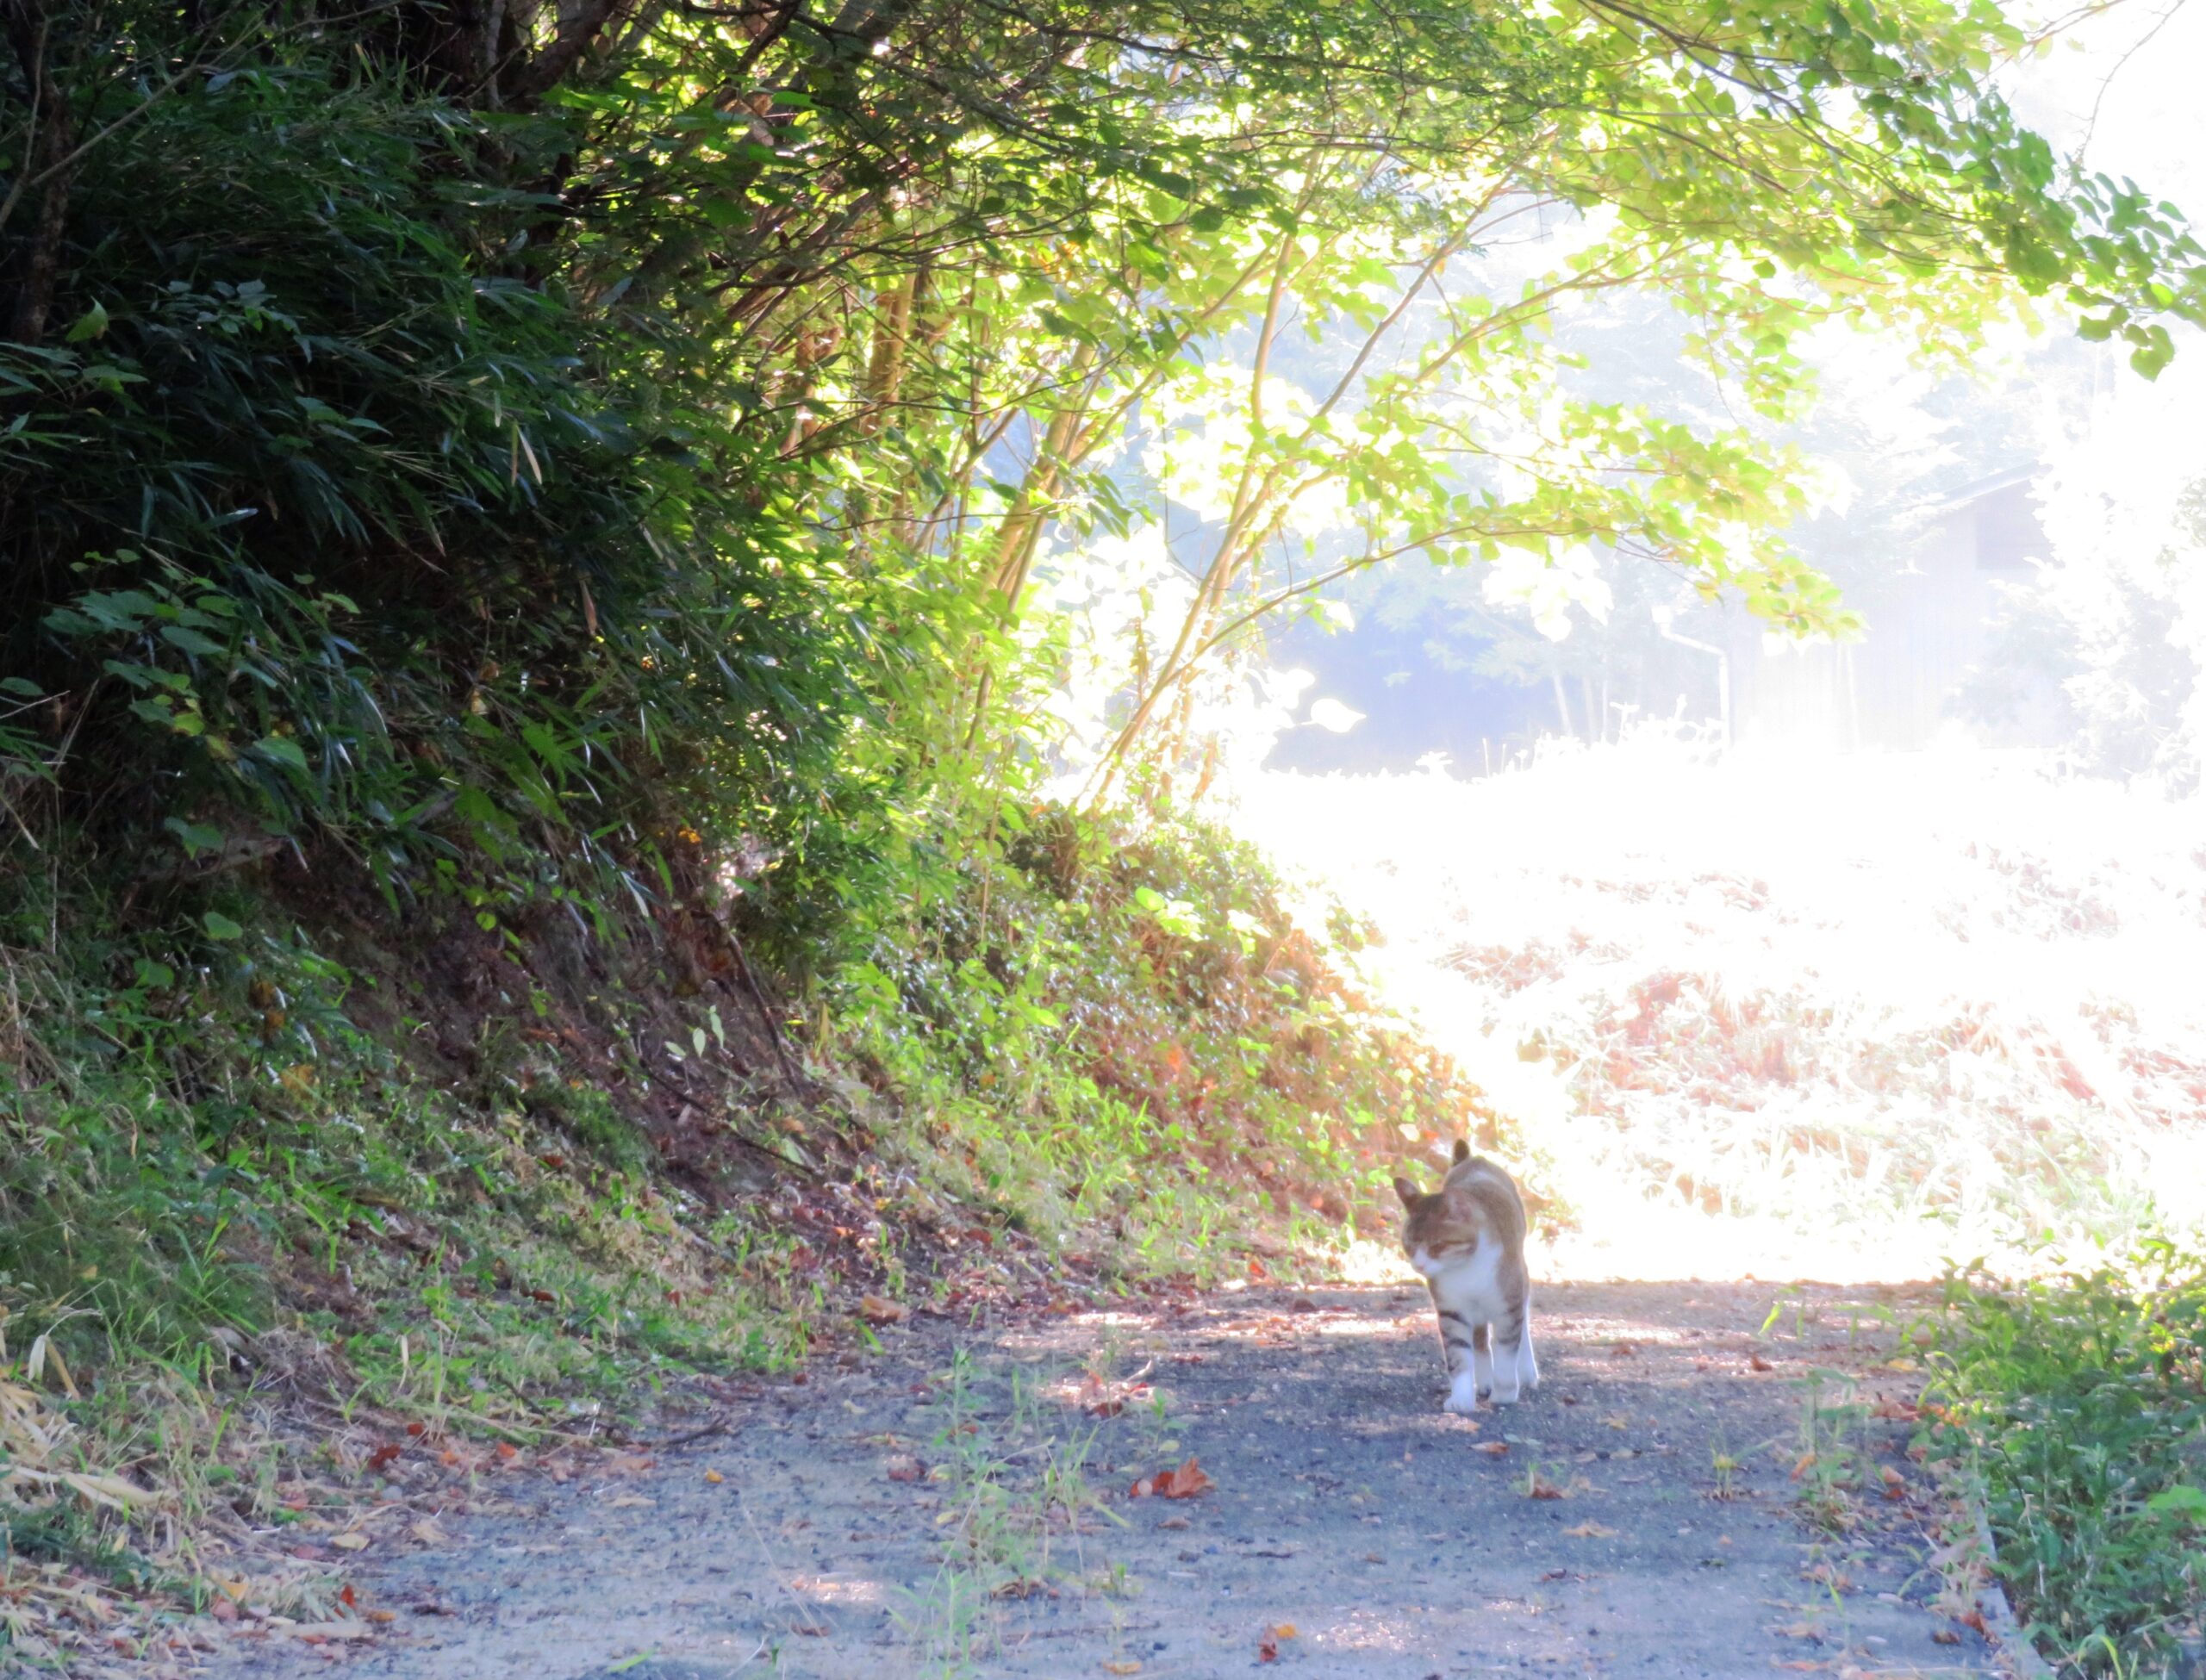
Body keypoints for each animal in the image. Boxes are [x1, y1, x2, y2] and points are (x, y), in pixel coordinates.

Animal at [1393, 1129, 1535, 1410]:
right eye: (1409, 1245)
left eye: (1437, 1245)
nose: (1419, 1265)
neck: (1466, 1268)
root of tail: (1473, 1160)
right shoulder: (1452, 1309)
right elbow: (1458, 1354)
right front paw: (1461, 1399)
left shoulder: (1507, 1304)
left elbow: (1506, 1350)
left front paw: (1504, 1393)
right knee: (1480, 1339)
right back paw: (1484, 1381)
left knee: (1521, 1327)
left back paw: (1526, 1373)